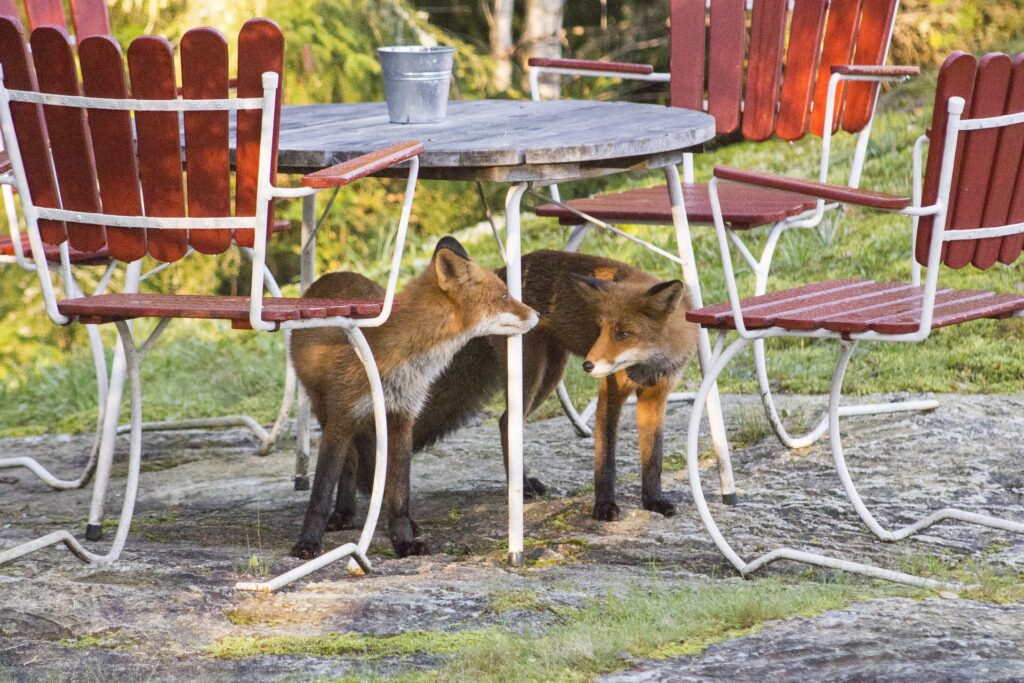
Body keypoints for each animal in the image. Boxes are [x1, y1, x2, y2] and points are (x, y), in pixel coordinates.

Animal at [288, 236, 539, 559]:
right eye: (504, 296)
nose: (538, 315)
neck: (402, 354)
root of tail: (334, 274)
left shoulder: (402, 417)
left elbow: (399, 492)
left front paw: (404, 541)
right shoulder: (342, 415)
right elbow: (320, 492)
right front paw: (307, 542)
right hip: (324, 407)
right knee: (350, 463)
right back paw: (343, 513)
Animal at [337, 249, 698, 526]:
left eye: (623, 334)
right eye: (601, 330)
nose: (588, 365)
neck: (648, 367)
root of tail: (501, 274)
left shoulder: (656, 397)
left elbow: (653, 457)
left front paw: (654, 501)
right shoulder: (610, 394)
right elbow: (605, 461)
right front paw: (605, 507)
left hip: (549, 376)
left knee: (506, 423)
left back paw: (522, 482)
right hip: (532, 376)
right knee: (505, 422)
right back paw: (518, 488)